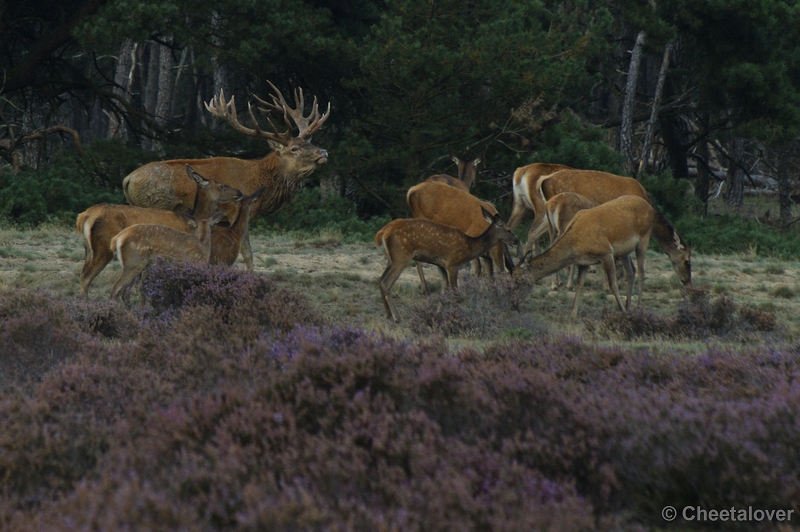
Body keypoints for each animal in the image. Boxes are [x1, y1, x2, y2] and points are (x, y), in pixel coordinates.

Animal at [77, 164, 242, 294]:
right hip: (103, 248)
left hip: (89, 250)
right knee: (86, 278)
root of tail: (84, 216)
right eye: (222, 186)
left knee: (82, 274)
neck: (193, 221)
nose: (239, 192)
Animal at [119, 80, 332, 266]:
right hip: (155, 204)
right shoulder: (238, 210)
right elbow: (246, 252)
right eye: (295, 148)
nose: (323, 152)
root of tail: (127, 179)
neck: (260, 179)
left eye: (309, 142)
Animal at [376, 207, 520, 324]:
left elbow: (444, 292)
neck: (469, 248)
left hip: (391, 259)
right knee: (386, 283)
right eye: (508, 230)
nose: (516, 240)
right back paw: (397, 317)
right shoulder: (453, 263)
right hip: (401, 256)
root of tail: (382, 233)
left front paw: (436, 315)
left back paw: (387, 314)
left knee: (380, 279)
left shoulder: (440, 265)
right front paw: (456, 317)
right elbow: (456, 293)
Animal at [512, 196, 656, 318]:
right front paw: (572, 314)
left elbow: (612, 283)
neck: (578, 243)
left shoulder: (606, 253)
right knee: (631, 271)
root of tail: (649, 206)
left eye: (520, 280)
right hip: (624, 252)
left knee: (641, 272)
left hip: (644, 238)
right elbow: (580, 283)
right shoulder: (584, 262)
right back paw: (629, 305)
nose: (515, 302)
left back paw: (637, 308)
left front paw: (623, 312)